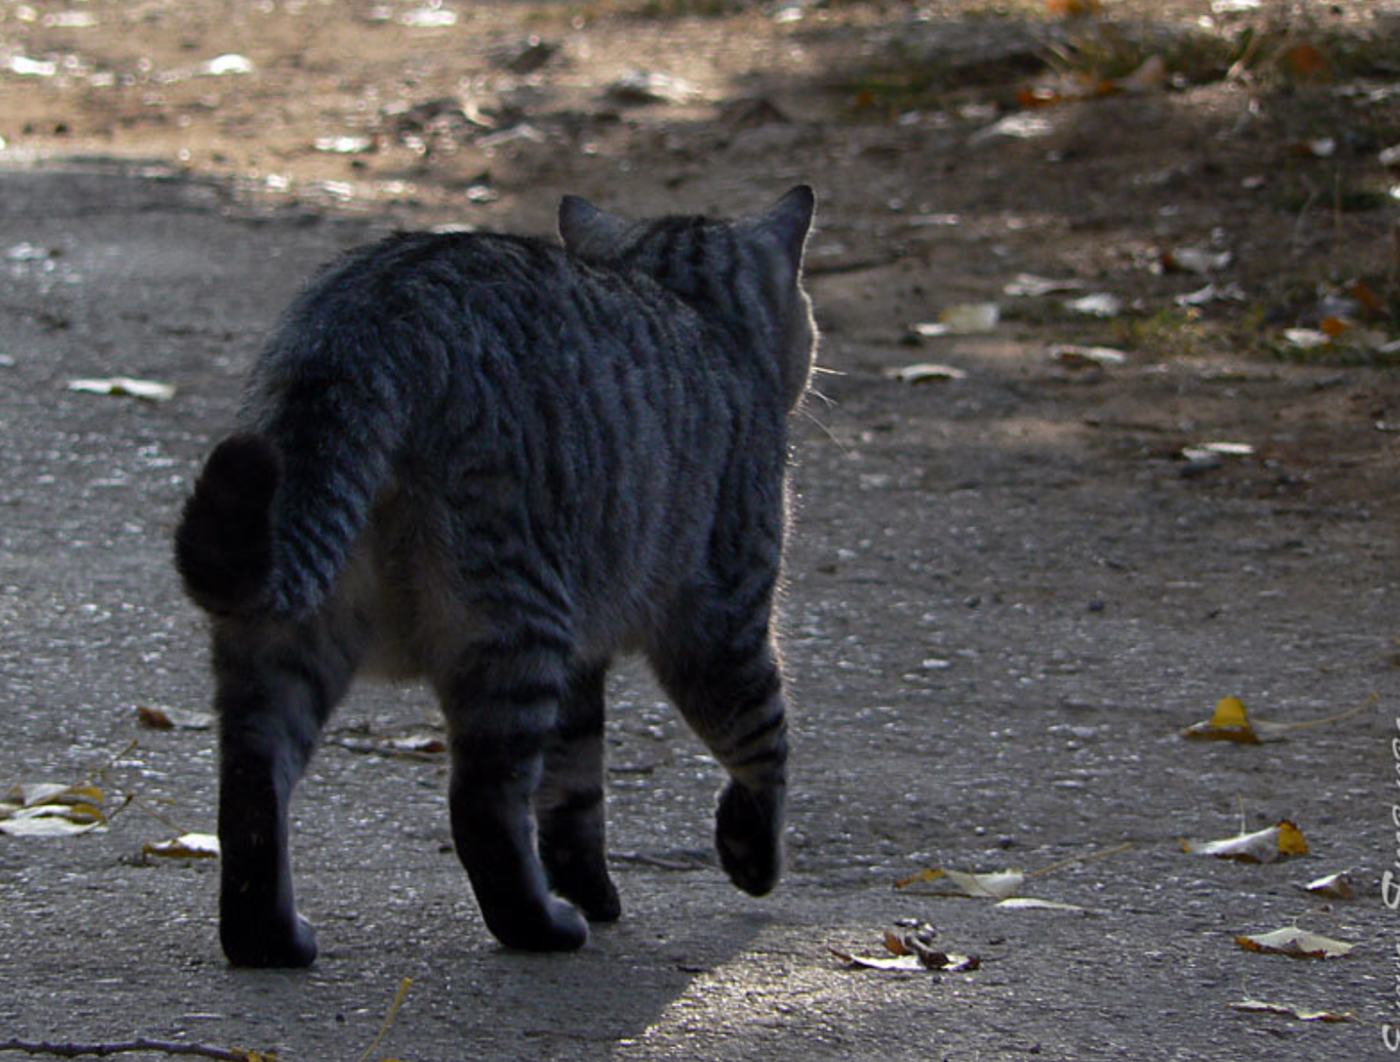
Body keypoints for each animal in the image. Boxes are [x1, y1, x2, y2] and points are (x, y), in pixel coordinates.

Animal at [175, 187, 817, 968]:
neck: (696, 310)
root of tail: (361, 326)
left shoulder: (583, 664)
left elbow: (575, 793)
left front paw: (591, 887)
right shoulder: (726, 624)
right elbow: (765, 743)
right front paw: (753, 854)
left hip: (286, 631)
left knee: (250, 786)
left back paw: (268, 937)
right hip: (515, 625)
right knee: (481, 806)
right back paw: (540, 926)